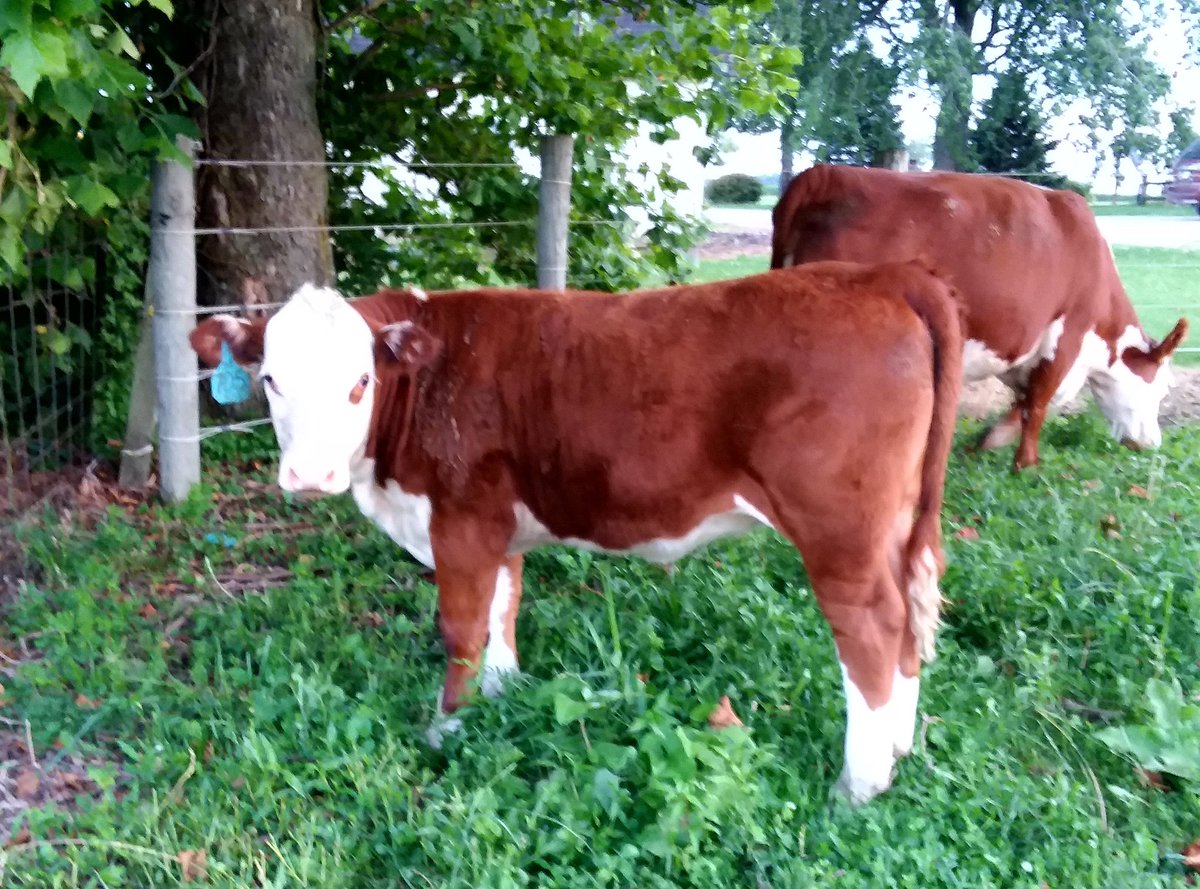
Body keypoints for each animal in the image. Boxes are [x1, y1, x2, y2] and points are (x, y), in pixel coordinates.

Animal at [190, 260, 963, 804]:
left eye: (359, 382)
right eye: (270, 380)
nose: (309, 474)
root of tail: (879, 274)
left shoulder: (462, 517)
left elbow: (461, 627)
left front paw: (446, 727)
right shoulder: (496, 524)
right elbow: (503, 608)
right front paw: (501, 695)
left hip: (839, 529)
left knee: (871, 627)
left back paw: (859, 784)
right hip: (898, 525)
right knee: (908, 620)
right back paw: (899, 747)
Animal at [771, 164, 1188, 470]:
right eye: (1162, 389)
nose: (1152, 443)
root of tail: (823, 174)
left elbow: (1021, 404)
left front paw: (983, 445)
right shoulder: (1065, 339)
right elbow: (1038, 405)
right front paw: (1026, 465)